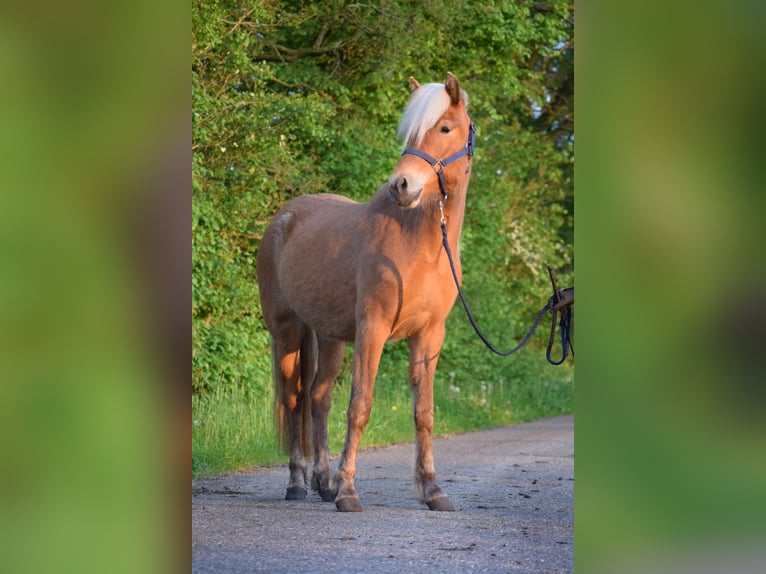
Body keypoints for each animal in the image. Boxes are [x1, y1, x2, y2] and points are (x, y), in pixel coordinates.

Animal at [258, 73, 474, 512]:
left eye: (445, 128)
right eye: (410, 131)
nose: (401, 185)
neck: (420, 247)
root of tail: (282, 219)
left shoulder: (429, 336)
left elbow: (424, 412)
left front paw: (432, 489)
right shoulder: (372, 330)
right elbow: (360, 406)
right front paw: (349, 491)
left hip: (328, 336)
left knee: (318, 399)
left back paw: (322, 483)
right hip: (287, 332)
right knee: (293, 400)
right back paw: (297, 483)